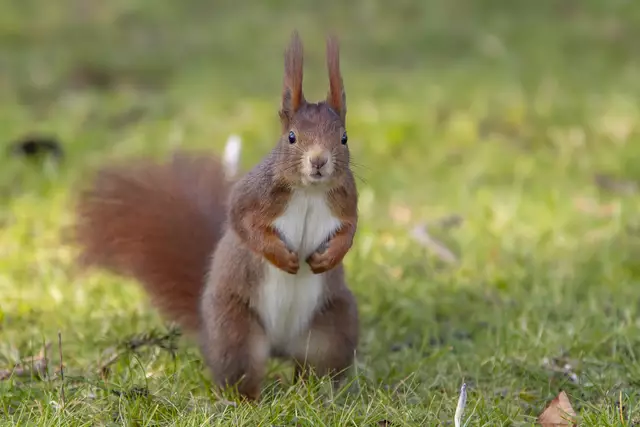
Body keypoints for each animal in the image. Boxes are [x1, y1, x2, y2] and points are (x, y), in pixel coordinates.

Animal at [72, 30, 359, 401]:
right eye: (292, 137)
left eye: (344, 138)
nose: (319, 161)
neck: (309, 191)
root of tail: (279, 346)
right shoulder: (251, 195)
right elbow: (242, 224)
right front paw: (281, 257)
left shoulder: (346, 200)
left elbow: (350, 230)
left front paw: (330, 257)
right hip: (234, 331)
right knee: (240, 371)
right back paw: (247, 401)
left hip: (332, 327)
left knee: (316, 368)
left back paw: (319, 394)